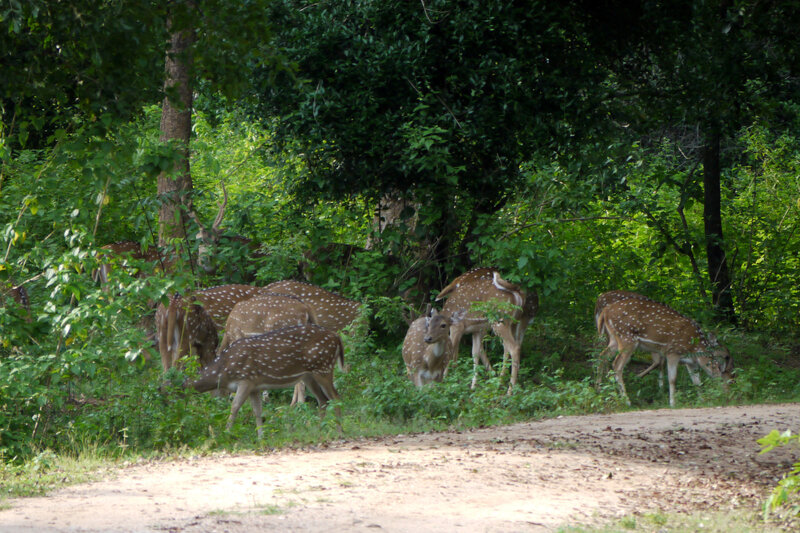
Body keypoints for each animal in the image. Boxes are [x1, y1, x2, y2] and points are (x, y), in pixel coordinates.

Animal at [186, 323, 344, 438]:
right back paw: (319, 430)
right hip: (309, 375)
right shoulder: (254, 386)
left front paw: (226, 433)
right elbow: (258, 411)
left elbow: (235, 407)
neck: (223, 370)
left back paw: (340, 431)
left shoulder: (246, 380)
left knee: (335, 397)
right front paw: (261, 437)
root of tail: (337, 337)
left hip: (323, 367)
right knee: (323, 400)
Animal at [596, 297, 733, 407]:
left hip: (614, 339)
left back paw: (598, 389)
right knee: (616, 365)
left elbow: (697, 382)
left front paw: (702, 400)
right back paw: (627, 401)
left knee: (601, 356)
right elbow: (672, 379)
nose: (729, 389)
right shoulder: (672, 352)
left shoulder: (690, 362)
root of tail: (605, 311)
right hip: (627, 338)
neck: (696, 349)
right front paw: (673, 403)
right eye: (726, 356)